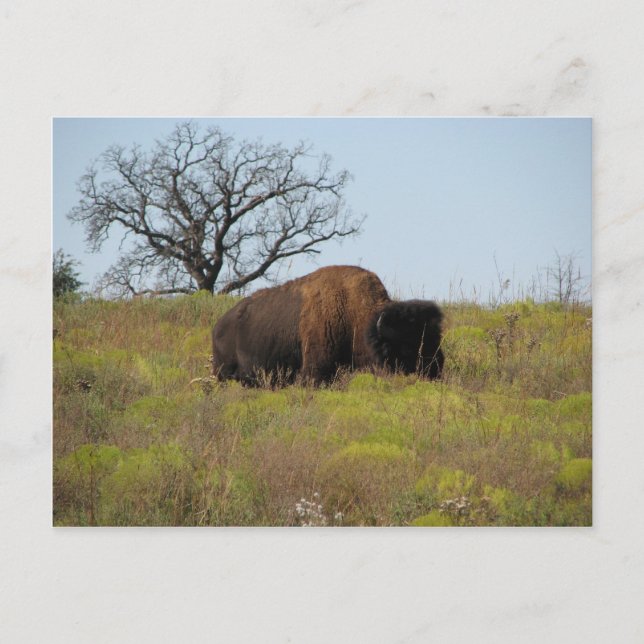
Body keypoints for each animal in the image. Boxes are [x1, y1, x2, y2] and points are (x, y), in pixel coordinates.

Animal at [211, 265, 444, 385]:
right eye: (407, 347)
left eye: (436, 340)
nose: (436, 370)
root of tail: (218, 325)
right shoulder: (316, 371)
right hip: (223, 373)